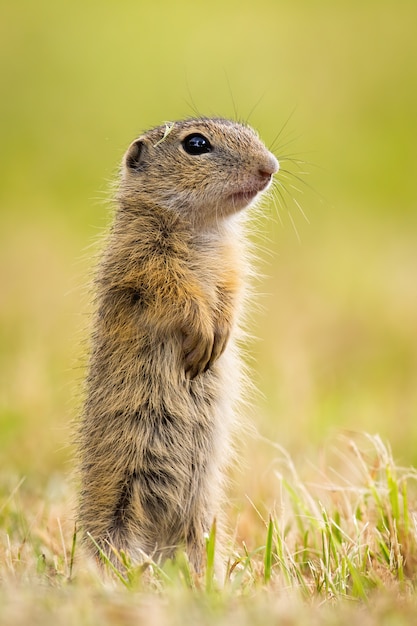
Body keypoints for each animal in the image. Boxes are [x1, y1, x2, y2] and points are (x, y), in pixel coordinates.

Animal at [79, 116, 278, 572]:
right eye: (196, 144)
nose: (270, 167)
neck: (202, 227)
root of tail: (159, 541)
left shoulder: (232, 263)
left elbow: (230, 291)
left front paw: (220, 334)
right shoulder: (144, 259)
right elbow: (177, 292)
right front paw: (203, 335)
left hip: (201, 510)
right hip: (119, 491)